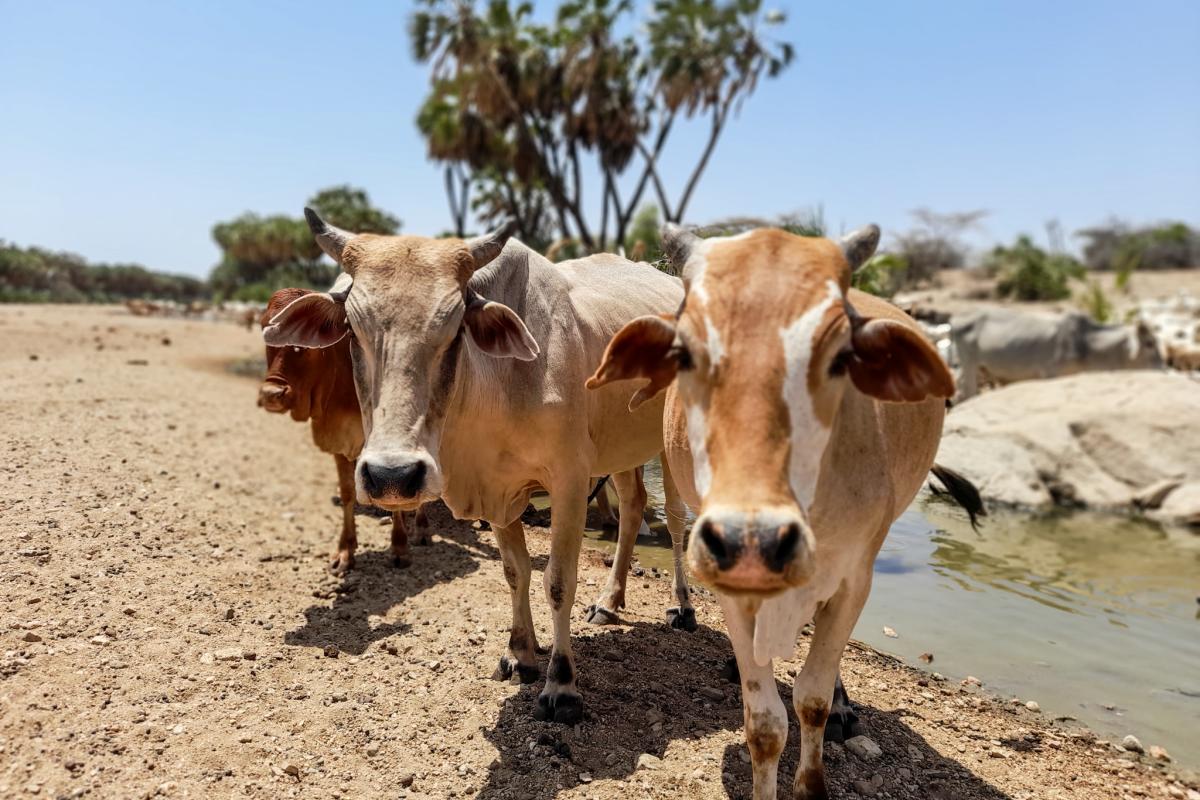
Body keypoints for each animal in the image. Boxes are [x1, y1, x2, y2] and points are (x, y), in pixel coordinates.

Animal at [257, 288, 427, 573]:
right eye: (262, 328)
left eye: (301, 344)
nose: (271, 394)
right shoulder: (339, 443)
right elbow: (348, 493)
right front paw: (346, 550)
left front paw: (400, 548)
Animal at [588, 223, 979, 799]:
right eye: (684, 353)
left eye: (840, 357)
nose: (755, 539)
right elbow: (766, 724)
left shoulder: (853, 578)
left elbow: (811, 699)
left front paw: (814, 772)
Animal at [951, 307, 1162, 400]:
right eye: (1149, 343)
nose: (1163, 370)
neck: (1085, 345)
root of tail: (956, 318)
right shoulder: (1050, 375)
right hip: (969, 366)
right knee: (968, 393)